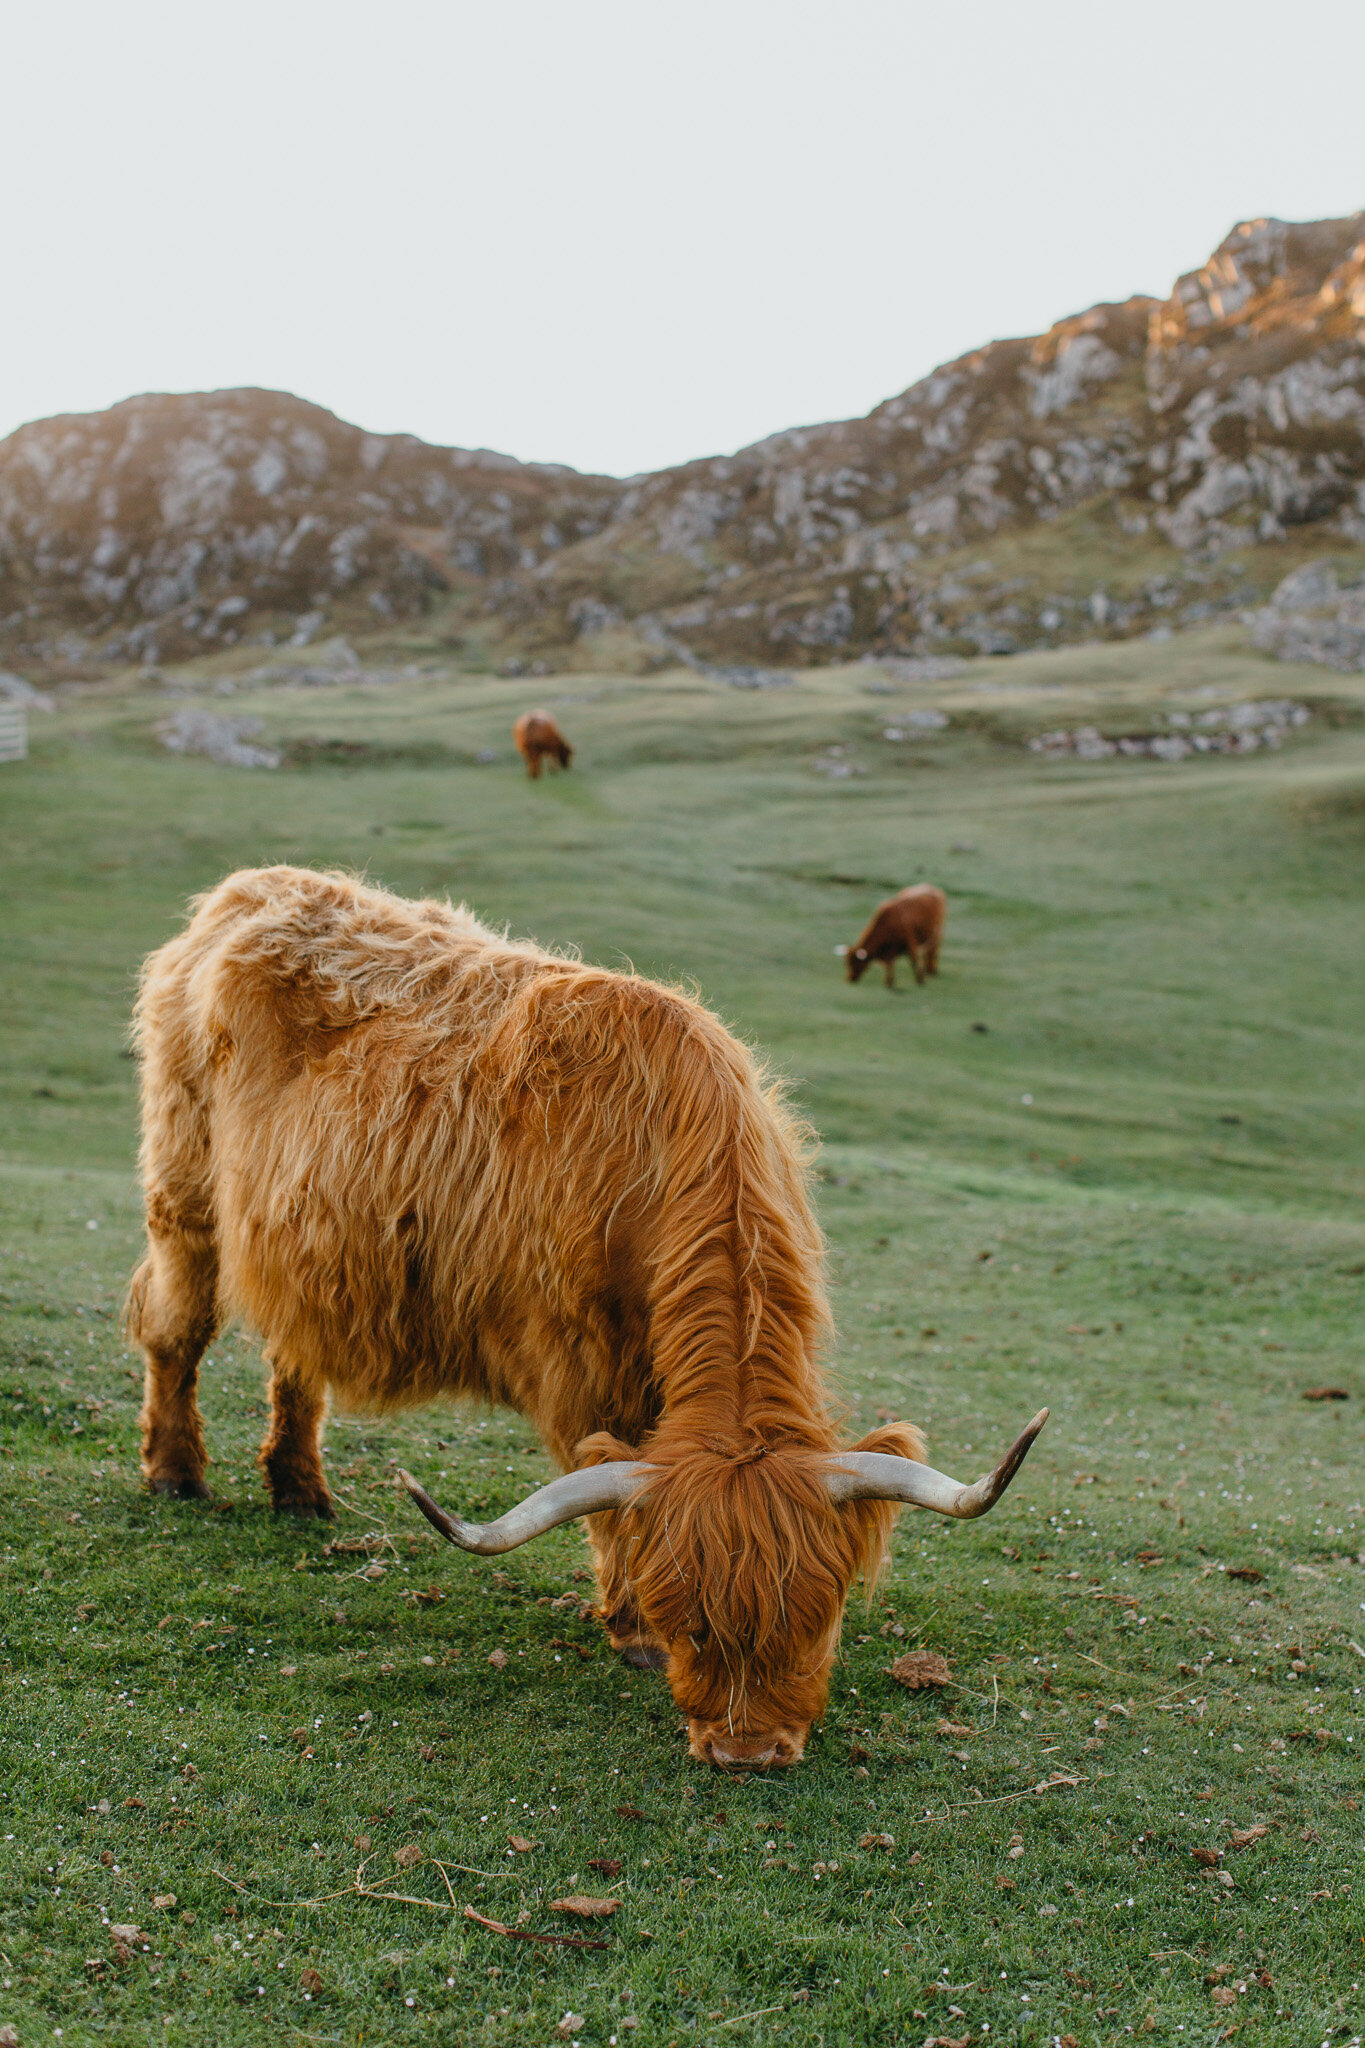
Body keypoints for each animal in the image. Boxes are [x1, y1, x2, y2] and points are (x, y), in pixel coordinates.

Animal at [130, 864, 1047, 1761]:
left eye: (817, 1618)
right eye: (692, 1625)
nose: (747, 1753)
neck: (660, 1155)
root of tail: (247, 889)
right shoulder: (575, 1361)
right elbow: (601, 1487)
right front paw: (631, 1628)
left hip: (302, 1250)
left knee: (293, 1353)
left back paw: (299, 1490)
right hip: (186, 1199)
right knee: (176, 1331)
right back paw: (177, 1474)